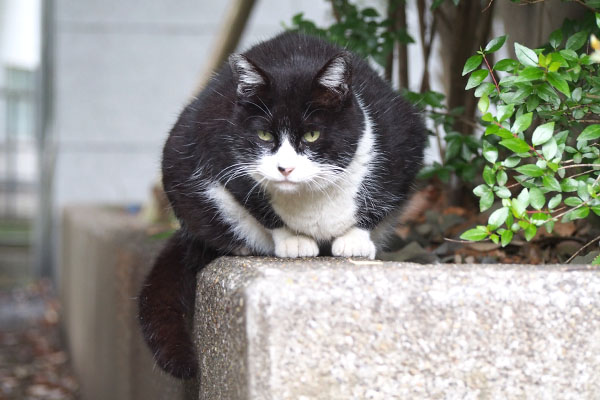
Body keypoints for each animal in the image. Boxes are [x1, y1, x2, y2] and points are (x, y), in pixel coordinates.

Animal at [137, 31, 426, 378]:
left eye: (312, 135)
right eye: (264, 134)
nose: (284, 168)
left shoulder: (405, 137)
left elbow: (383, 194)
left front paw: (355, 240)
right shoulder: (219, 148)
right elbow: (256, 203)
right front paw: (293, 240)